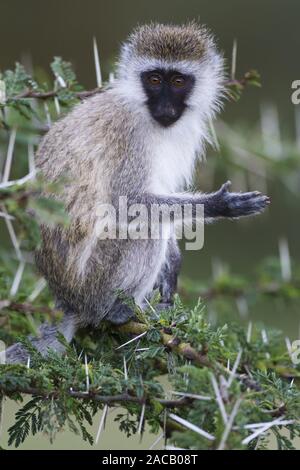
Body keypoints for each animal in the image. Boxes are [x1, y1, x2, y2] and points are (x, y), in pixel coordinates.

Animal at [5, 23, 270, 364]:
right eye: (154, 80)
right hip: (96, 281)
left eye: (178, 81)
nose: (166, 107)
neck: (147, 113)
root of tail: (69, 302)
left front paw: (173, 262)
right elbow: (127, 205)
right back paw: (119, 311)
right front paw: (219, 204)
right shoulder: (129, 134)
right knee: (145, 230)